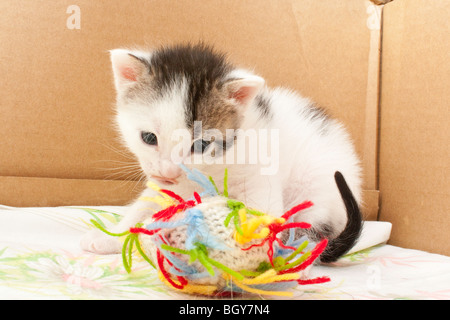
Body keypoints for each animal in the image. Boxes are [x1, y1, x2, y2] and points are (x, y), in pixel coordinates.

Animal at [80, 42, 362, 262]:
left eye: (201, 146)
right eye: (149, 138)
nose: (169, 172)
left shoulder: (259, 176)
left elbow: (260, 215)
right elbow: (143, 206)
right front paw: (113, 236)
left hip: (317, 196)